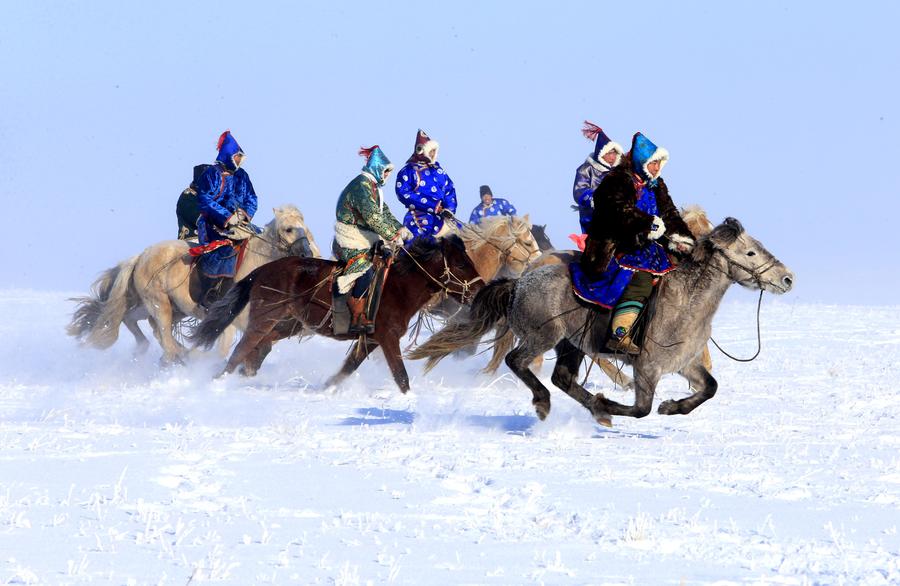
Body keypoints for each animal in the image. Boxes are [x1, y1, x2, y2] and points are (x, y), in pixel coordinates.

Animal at [69, 204, 320, 360]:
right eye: (288, 229)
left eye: (306, 230)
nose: (308, 254)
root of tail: (141, 256)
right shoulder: (230, 319)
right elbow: (222, 350)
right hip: (159, 304)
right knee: (161, 334)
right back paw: (177, 356)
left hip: (163, 307)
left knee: (133, 321)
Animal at [192, 234, 486, 392]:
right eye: (461, 264)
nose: (480, 290)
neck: (398, 286)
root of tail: (260, 272)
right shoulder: (387, 337)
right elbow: (400, 376)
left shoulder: (369, 339)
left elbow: (348, 368)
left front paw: (326, 388)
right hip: (264, 319)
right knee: (241, 350)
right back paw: (219, 380)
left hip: (289, 325)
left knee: (258, 349)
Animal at [408, 217, 796, 422]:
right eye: (750, 252)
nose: (788, 278)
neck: (686, 303)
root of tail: (520, 282)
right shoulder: (648, 367)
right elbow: (641, 409)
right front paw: (613, 402)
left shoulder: (685, 364)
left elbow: (710, 388)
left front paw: (673, 407)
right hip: (543, 336)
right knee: (516, 361)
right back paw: (550, 403)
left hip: (571, 345)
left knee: (562, 377)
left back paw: (594, 409)